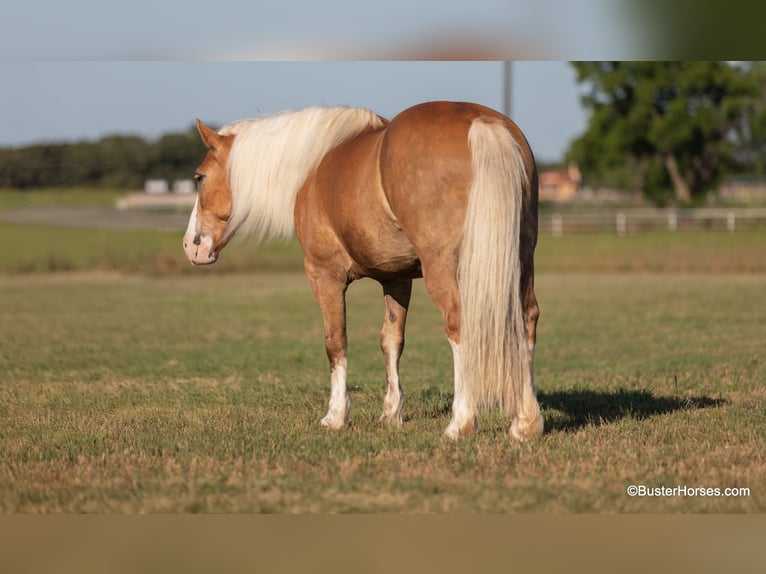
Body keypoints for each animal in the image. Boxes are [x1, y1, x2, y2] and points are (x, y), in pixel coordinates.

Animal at [183, 101, 543, 441]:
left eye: (199, 177)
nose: (191, 245)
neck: (312, 167)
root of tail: (478, 122)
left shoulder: (324, 275)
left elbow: (336, 341)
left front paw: (336, 416)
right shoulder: (397, 279)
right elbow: (391, 341)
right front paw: (391, 413)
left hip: (443, 268)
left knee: (459, 325)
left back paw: (461, 423)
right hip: (522, 261)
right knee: (527, 320)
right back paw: (525, 424)